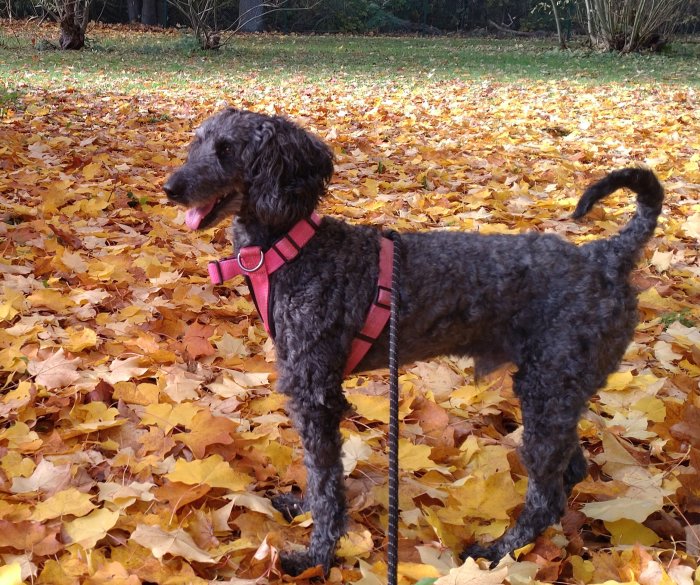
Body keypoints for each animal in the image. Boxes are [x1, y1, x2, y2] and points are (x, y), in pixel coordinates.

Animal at [163, 107, 660, 572]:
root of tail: (606, 256)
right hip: (557, 391)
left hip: (548, 390)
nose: (170, 187)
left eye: (228, 150)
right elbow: (319, 472)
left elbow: (326, 483)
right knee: (571, 470)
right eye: (198, 142)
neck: (292, 249)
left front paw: (318, 555)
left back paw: (498, 551)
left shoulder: (314, 391)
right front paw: (302, 510)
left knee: (547, 495)